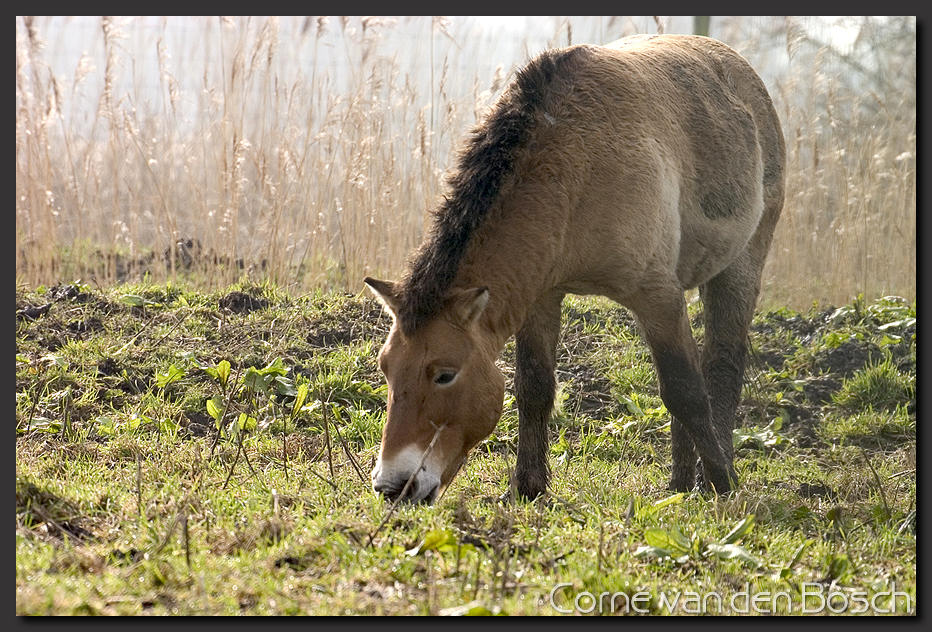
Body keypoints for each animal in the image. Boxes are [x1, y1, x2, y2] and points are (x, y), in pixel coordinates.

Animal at [364, 34, 785, 503]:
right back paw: (678, 484)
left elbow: (686, 392)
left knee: (723, 367)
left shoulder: (656, 296)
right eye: (386, 368)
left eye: (444, 375)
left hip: (741, 265)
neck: (574, 168)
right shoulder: (540, 297)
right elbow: (534, 388)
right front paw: (527, 488)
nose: (393, 485)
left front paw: (721, 482)